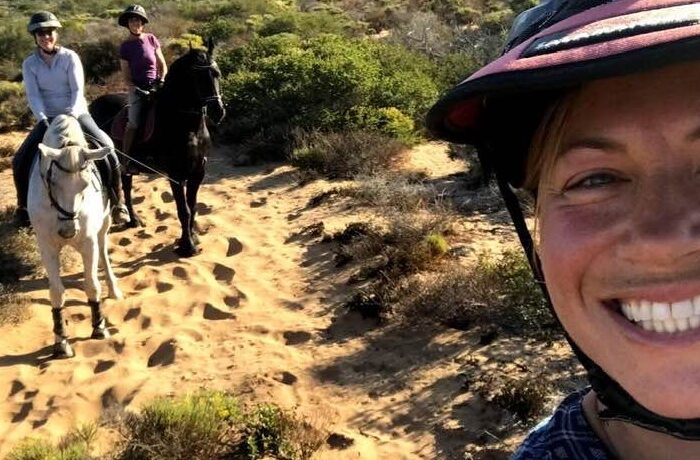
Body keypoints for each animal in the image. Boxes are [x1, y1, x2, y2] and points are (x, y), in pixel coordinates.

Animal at [28, 116, 123, 360]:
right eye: (52, 181)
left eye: (86, 184)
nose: (68, 232)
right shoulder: (47, 247)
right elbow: (56, 293)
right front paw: (61, 342)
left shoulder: (88, 243)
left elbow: (92, 285)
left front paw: (99, 327)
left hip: (104, 225)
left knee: (104, 252)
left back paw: (114, 289)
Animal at [90, 39, 226, 256]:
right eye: (197, 77)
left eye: (217, 73)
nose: (218, 112)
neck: (187, 126)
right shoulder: (176, 175)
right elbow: (183, 210)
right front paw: (187, 246)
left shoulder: (198, 172)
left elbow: (193, 207)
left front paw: (192, 237)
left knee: (126, 187)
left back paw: (133, 220)